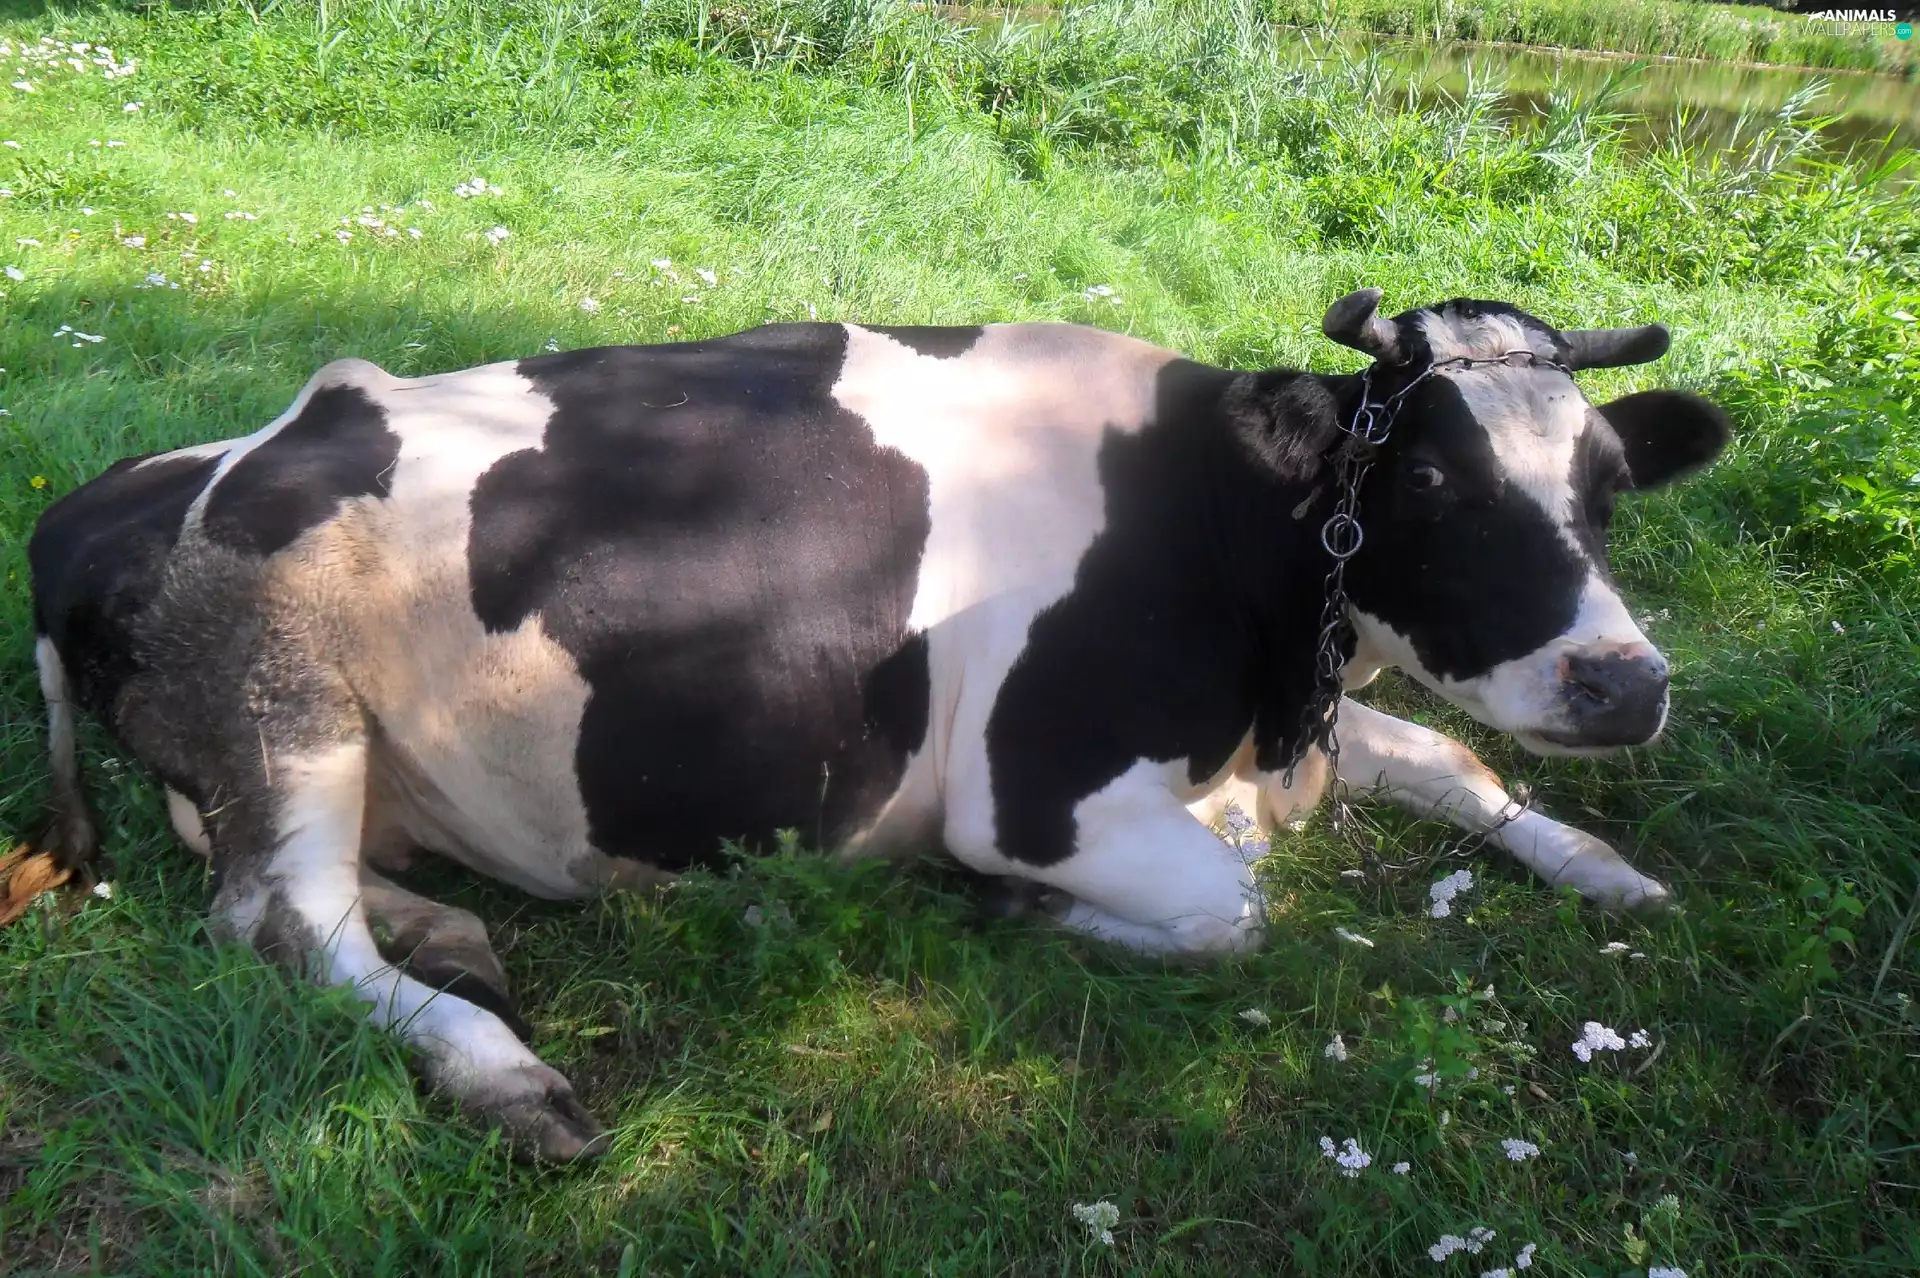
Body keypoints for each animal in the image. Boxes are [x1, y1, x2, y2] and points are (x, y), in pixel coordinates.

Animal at [21, 289, 1730, 1160]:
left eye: (1606, 484)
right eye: (1430, 478)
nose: (1626, 683)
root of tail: (112, 500)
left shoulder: (1270, 725)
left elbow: (1449, 757)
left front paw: (1606, 869)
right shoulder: (1038, 787)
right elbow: (1238, 910)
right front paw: (1025, 915)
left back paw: (443, 930)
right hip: (287, 699)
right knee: (277, 921)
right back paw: (497, 1065)